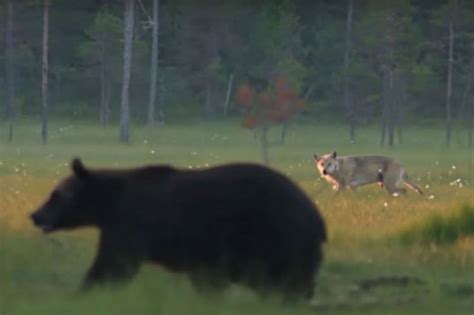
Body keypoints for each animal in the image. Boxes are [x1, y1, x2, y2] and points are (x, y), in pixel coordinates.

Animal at [30, 159, 326, 302]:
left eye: (56, 195)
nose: (35, 215)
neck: (111, 203)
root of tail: (317, 216)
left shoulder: (131, 226)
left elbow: (113, 265)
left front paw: (82, 291)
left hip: (275, 235)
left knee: (286, 278)